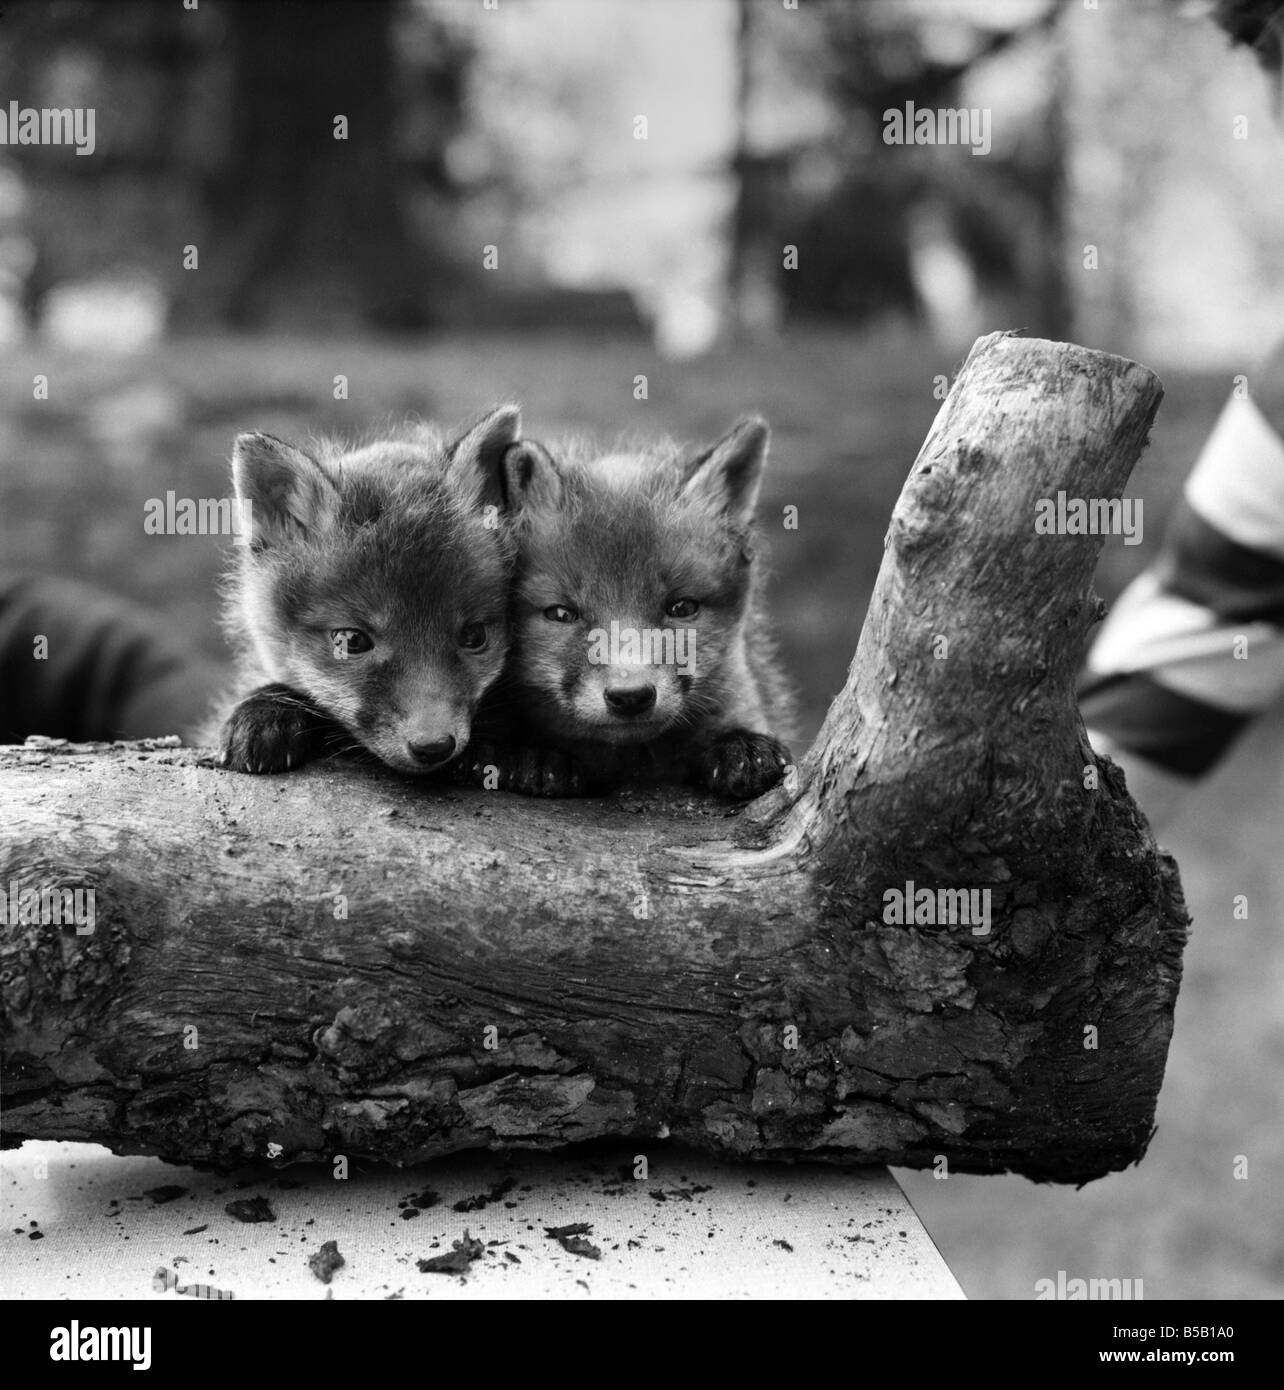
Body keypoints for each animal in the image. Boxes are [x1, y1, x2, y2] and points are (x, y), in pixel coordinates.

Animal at [459, 417, 797, 800]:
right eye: (561, 614)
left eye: (682, 607)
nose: (630, 696)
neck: (631, 763)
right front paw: (534, 757)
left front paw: (742, 748)